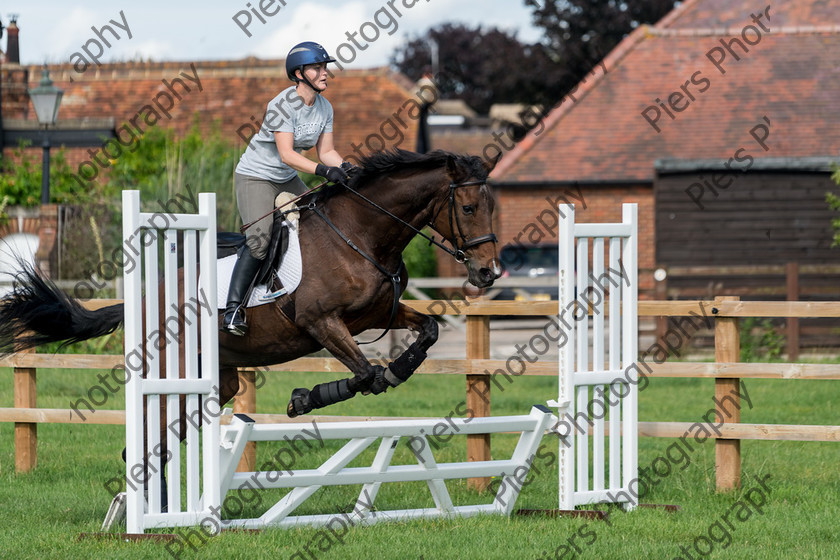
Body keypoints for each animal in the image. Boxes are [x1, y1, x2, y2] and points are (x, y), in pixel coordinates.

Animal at [0, 149, 502, 420]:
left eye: (492, 206)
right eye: (469, 208)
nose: (488, 273)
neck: (360, 235)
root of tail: (140, 299)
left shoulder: (377, 314)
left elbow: (426, 333)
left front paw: (399, 370)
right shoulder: (321, 322)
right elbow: (365, 375)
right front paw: (302, 401)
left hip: (218, 374)